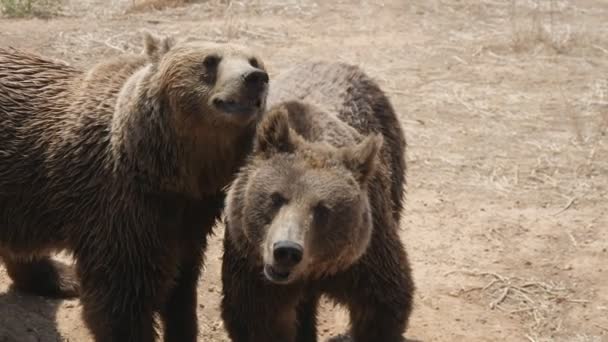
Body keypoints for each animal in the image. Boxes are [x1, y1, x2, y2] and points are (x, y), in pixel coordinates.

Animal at [0, 30, 268, 340]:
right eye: (210, 60)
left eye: (253, 60)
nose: (255, 78)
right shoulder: (121, 208)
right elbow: (120, 300)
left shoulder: (191, 214)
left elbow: (182, 284)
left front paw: (181, 327)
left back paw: (59, 278)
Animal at [221, 62, 416, 342]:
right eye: (276, 198)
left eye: (323, 209)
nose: (286, 251)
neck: (312, 270)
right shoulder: (251, 266)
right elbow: (256, 319)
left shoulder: (363, 259)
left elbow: (384, 302)